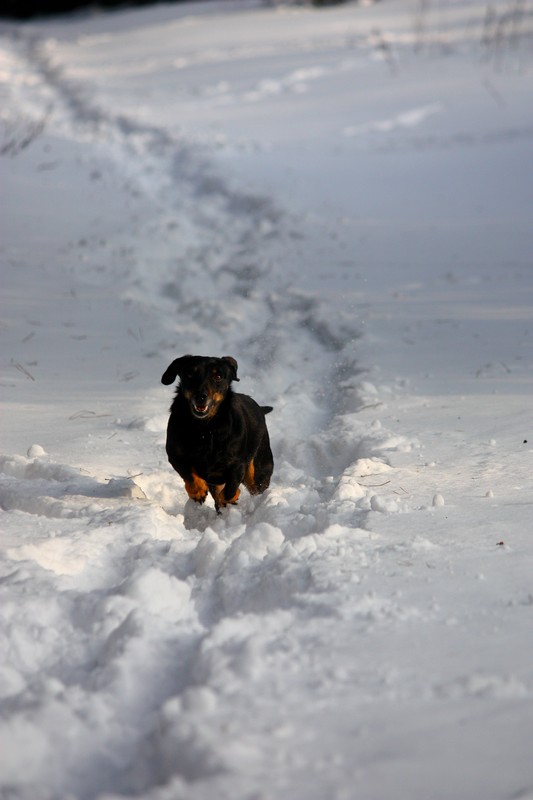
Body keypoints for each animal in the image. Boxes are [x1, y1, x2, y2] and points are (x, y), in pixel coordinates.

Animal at [160, 354, 272, 512]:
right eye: (190, 374)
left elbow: (230, 489)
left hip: (258, 470)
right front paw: (198, 492)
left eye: (218, 376)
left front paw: (233, 496)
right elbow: (189, 474)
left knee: (255, 486)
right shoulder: (175, 456)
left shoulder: (237, 464)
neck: (205, 428)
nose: (201, 396)